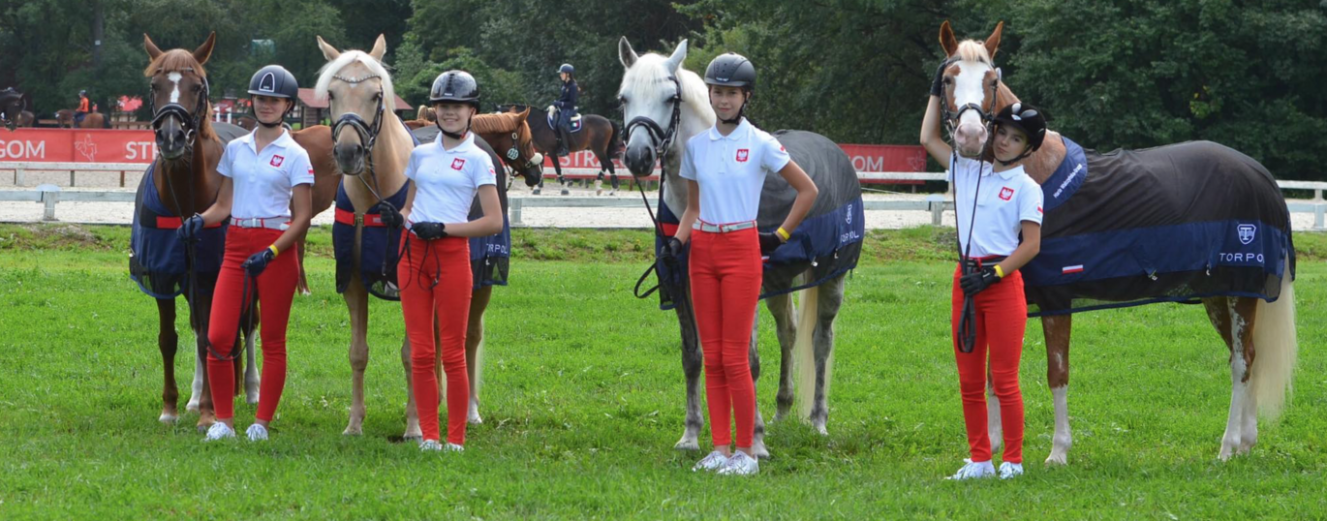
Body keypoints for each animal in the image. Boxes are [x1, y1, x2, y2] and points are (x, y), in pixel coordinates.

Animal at [129, 32, 259, 431]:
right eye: (154, 86)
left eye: (197, 86)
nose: (171, 137)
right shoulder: (163, 274)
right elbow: (170, 338)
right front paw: (172, 406)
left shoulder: (211, 274)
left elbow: (208, 337)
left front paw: (208, 412)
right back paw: (196, 395)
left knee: (248, 325)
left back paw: (250, 389)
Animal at [617, 38, 865, 457]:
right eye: (624, 98)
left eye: (670, 97)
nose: (638, 157)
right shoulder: (682, 283)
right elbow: (694, 356)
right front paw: (691, 434)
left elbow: (748, 360)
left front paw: (755, 441)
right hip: (778, 284)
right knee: (789, 332)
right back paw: (783, 410)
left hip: (832, 277)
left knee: (821, 340)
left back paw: (817, 420)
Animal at [938, 21, 1298, 464]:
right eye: (949, 78)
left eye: (990, 80)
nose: (971, 136)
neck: (1035, 172)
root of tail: (1262, 176)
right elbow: (994, 374)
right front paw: (989, 448)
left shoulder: (1057, 300)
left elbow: (1057, 374)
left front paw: (1058, 452)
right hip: (1218, 293)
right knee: (1244, 355)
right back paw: (1246, 442)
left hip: (1240, 291)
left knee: (1242, 362)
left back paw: (1228, 445)